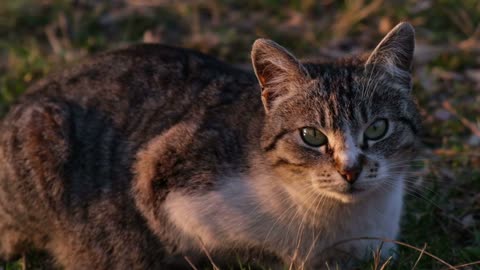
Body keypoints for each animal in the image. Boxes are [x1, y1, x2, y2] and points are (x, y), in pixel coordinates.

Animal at [0, 22, 420, 268]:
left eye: (377, 128)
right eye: (312, 136)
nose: (350, 170)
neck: (337, 223)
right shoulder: (159, 177)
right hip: (43, 132)